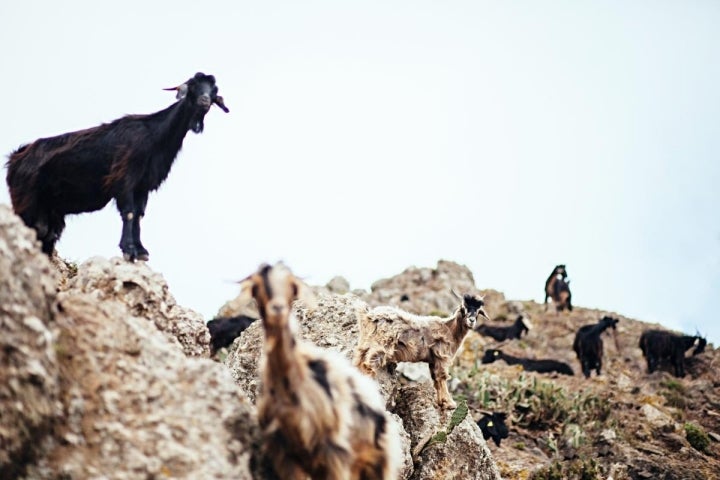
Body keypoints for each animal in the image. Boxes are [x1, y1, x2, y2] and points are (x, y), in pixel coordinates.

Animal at [4, 71, 228, 258]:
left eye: (214, 90)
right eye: (193, 86)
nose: (204, 100)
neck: (155, 135)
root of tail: (15, 159)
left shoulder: (142, 185)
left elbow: (138, 215)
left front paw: (140, 250)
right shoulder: (124, 177)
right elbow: (128, 212)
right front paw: (129, 249)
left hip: (48, 209)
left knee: (46, 234)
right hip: (26, 201)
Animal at [239, 262, 402, 480]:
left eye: (292, 286)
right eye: (258, 287)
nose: (277, 309)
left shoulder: (333, 452)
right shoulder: (284, 454)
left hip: (377, 463)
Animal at [354, 292, 490, 408]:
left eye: (478, 311)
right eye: (463, 308)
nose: (471, 320)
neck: (450, 329)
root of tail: (368, 315)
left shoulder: (433, 360)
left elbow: (436, 379)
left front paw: (441, 402)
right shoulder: (442, 357)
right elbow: (442, 377)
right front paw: (450, 403)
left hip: (365, 343)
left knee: (359, 361)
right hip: (382, 345)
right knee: (368, 365)